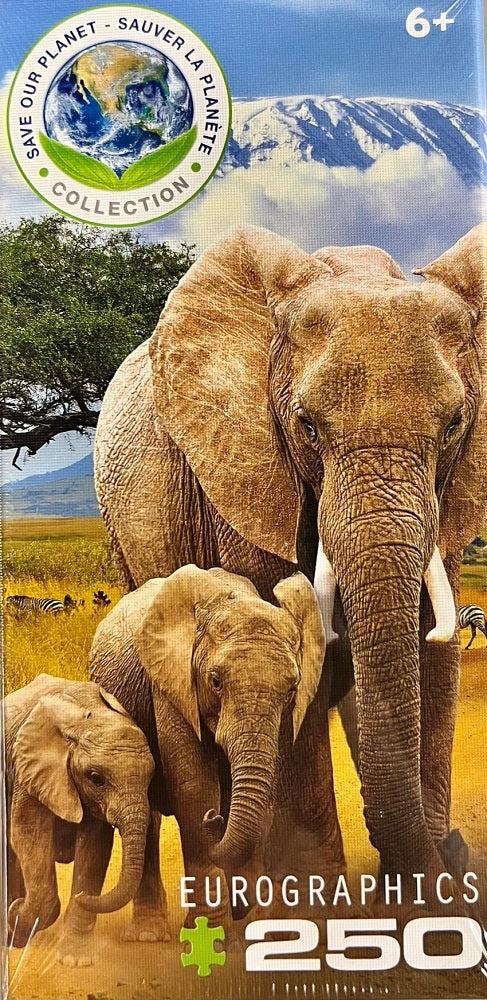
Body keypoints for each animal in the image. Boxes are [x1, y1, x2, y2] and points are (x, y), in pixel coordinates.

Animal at [4, 673, 154, 963]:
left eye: (151, 777)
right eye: (96, 778)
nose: (14, 909)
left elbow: (94, 848)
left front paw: (75, 960)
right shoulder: (29, 771)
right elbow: (28, 836)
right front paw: (15, 914)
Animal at [88, 564, 341, 934]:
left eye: (292, 688)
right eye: (215, 682)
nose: (216, 818)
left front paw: (253, 925)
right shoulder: (171, 681)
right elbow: (194, 786)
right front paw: (214, 933)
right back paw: (149, 935)